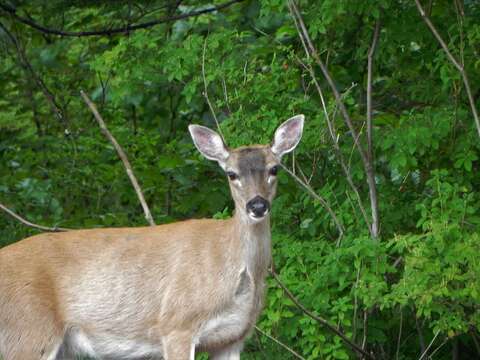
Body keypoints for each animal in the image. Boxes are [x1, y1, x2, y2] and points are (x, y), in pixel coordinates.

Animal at [0, 114, 304, 358]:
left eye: (275, 168)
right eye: (231, 174)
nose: (257, 205)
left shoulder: (232, 338)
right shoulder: (176, 324)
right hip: (28, 330)